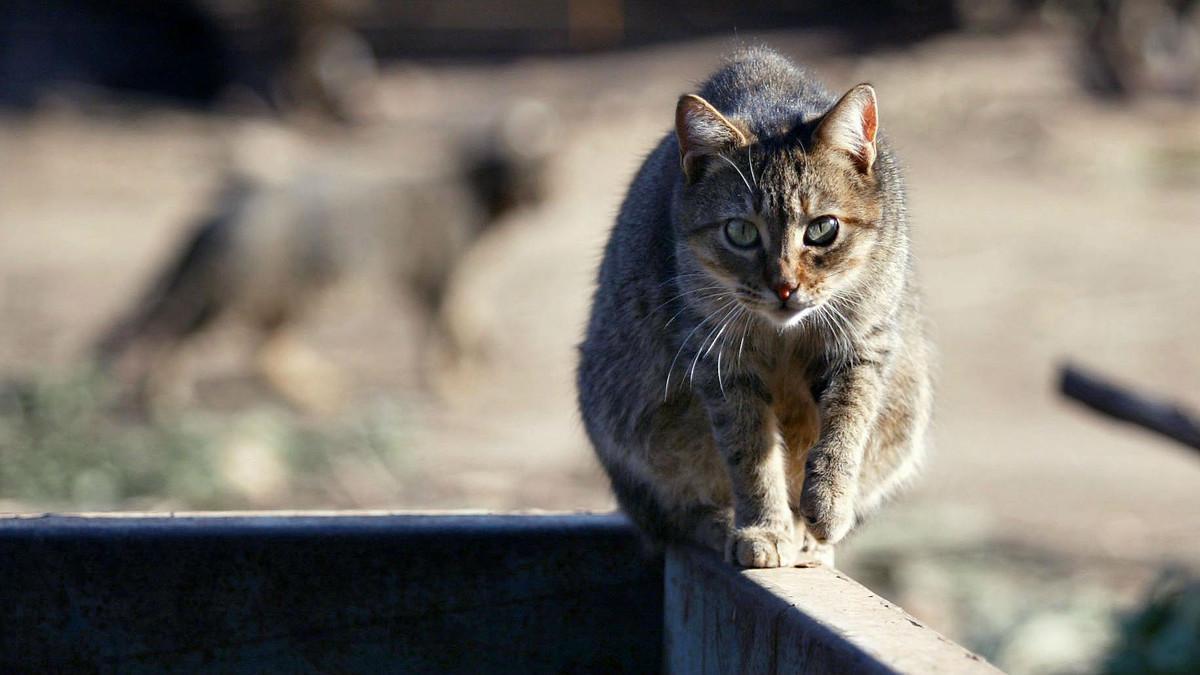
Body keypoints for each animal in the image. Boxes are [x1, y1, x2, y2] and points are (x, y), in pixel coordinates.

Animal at [576, 45, 931, 566]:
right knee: (671, 516)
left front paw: (826, 505)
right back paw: (721, 523)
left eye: (822, 228)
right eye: (741, 232)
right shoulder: (720, 362)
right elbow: (750, 454)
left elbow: (845, 427)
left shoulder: (862, 344)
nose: (784, 287)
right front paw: (763, 528)